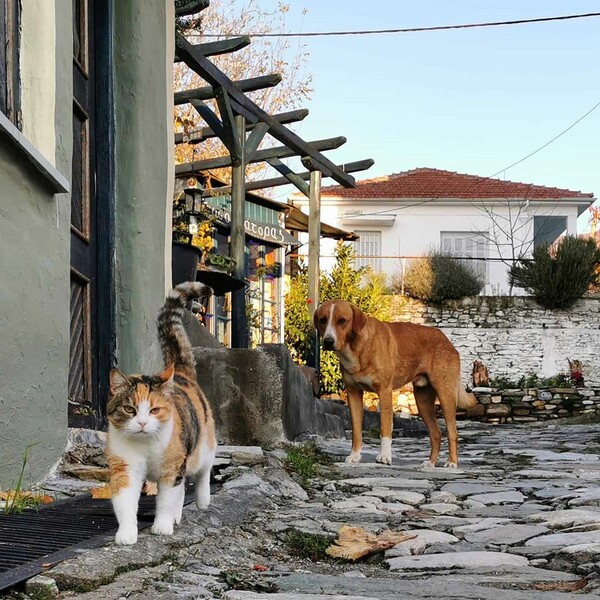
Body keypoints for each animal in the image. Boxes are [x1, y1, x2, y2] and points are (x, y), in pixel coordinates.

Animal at [106, 282, 217, 544]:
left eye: (154, 410)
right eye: (130, 409)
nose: (142, 423)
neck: (146, 445)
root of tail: (180, 372)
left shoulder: (172, 467)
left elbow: (166, 501)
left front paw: (162, 526)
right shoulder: (125, 467)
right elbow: (125, 503)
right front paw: (126, 534)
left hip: (201, 447)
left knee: (204, 470)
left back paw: (202, 500)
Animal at [314, 302, 478, 466]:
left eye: (342, 321)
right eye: (322, 320)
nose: (328, 341)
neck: (357, 347)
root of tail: (446, 340)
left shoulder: (385, 392)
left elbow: (385, 428)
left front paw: (385, 456)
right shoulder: (353, 394)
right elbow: (356, 431)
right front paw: (354, 456)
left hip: (445, 396)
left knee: (453, 432)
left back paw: (452, 463)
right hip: (423, 401)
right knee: (436, 433)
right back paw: (430, 463)